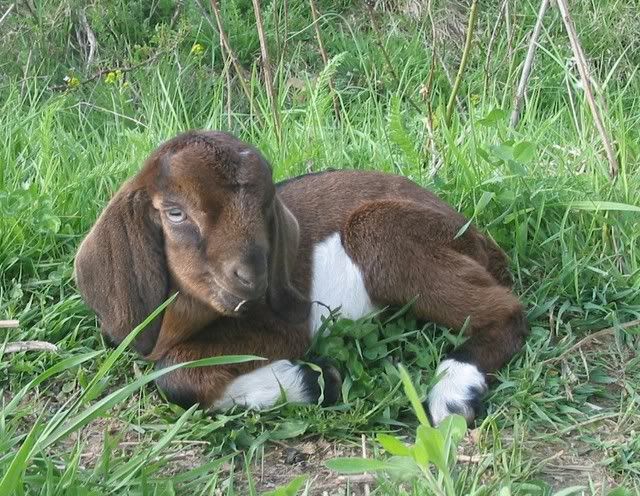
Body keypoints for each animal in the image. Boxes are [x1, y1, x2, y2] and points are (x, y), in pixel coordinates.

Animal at [74, 130, 528, 425]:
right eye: (175, 212)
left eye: (265, 207)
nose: (252, 277)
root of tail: (479, 236)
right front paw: (314, 381)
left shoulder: (281, 328)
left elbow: (171, 374)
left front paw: (316, 381)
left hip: (383, 230)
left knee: (507, 310)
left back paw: (453, 394)